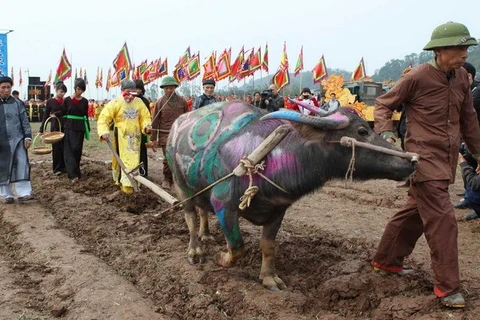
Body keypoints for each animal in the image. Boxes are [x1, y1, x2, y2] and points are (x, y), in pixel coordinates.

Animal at [165, 101, 412, 292]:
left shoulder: (278, 210)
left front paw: (269, 279)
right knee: (191, 217)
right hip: (181, 186)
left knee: (202, 211)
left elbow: (268, 246)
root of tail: (176, 125)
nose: (410, 161)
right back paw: (195, 250)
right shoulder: (224, 206)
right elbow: (236, 247)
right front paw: (220, 257)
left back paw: (206, 235)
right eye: (362, 131)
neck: (268, 157)